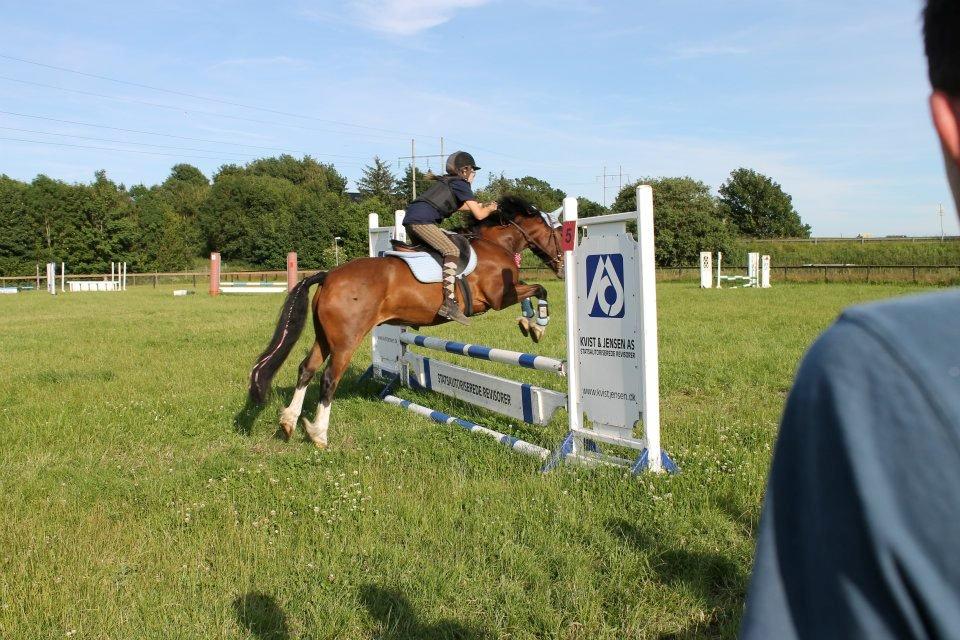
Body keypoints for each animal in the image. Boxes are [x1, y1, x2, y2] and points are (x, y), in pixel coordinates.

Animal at [248, 198, 568, 448]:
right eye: (559, 233)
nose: (563, 268)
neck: (495, 243)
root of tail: (328, 276)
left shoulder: (507, 292)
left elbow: (530, 290)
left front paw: (528, 324)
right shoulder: (499, 297)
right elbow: (539, 289)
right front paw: (538, 325)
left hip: (326, 337)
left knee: (307, 369)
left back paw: (289, 422)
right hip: (347, 340)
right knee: (328, 377)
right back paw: (318, 435)